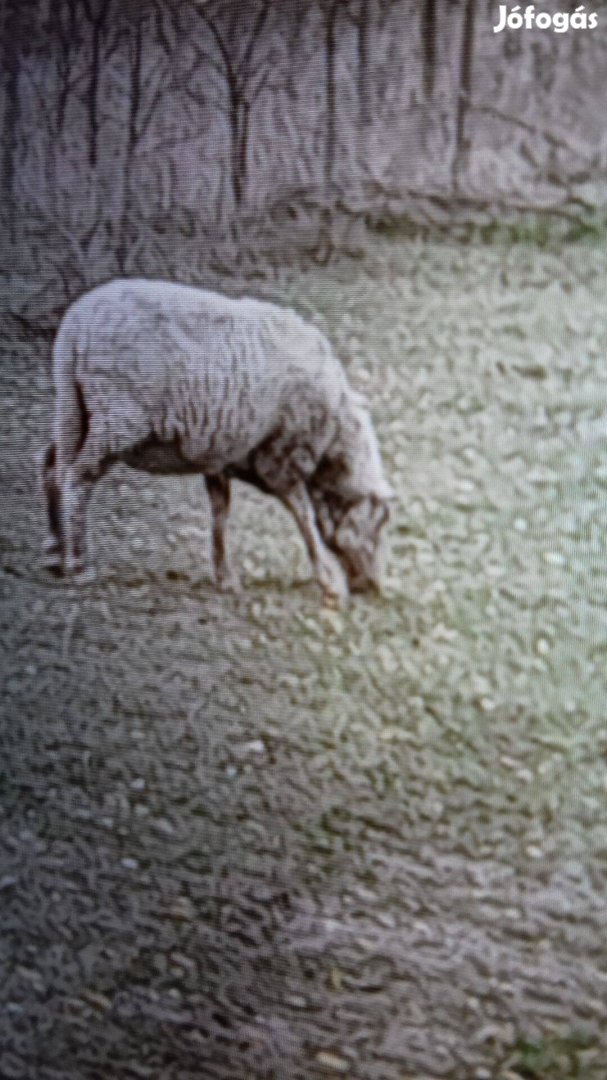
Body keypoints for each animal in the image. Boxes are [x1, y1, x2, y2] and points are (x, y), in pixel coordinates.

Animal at [41, 278, 393, 600]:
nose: (373, 587)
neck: (334, 438)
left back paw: (56, 552)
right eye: (376, 530)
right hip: (117, 419)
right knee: (77, 477)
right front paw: (330, 581)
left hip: (75, 410)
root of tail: (75, 325)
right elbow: (303, 515)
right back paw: (78, 566)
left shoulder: (219, 455)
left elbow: (220, 514)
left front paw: (224, 576)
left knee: (51, 467)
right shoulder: (280, 460)